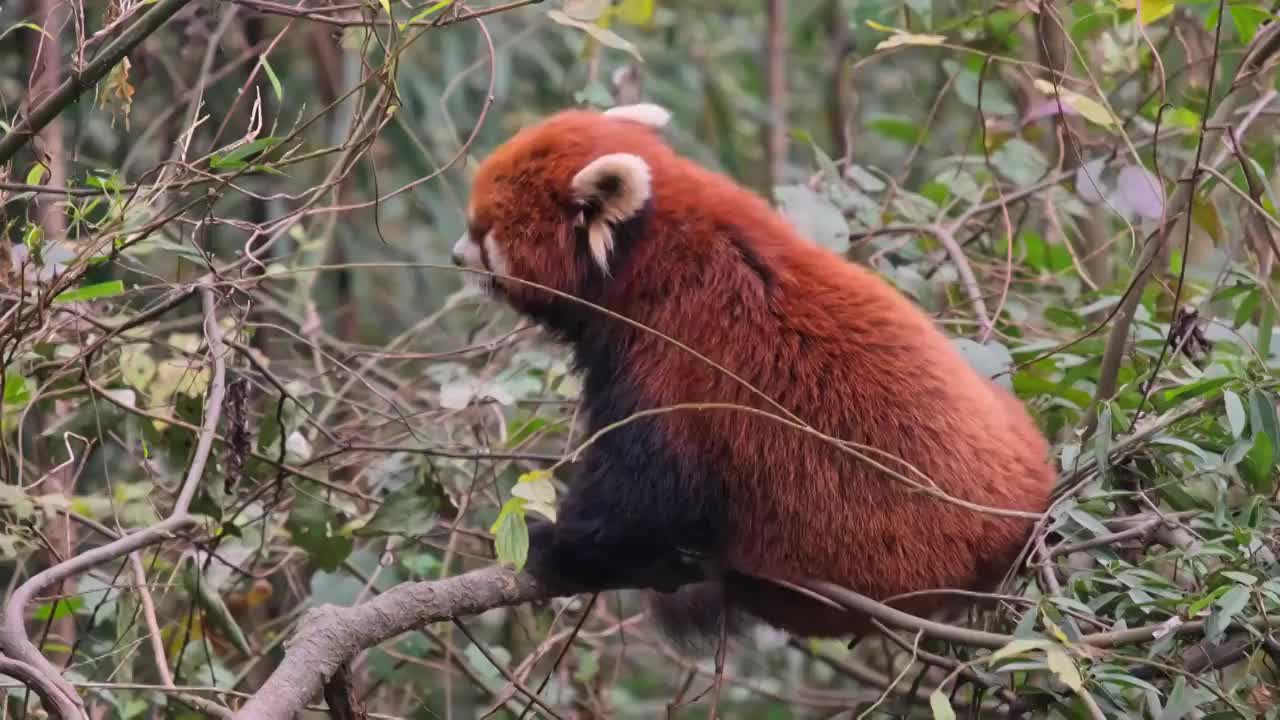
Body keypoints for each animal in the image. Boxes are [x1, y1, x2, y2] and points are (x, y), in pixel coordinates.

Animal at [455, 101, 1054, 638]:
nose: (456, 255)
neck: (645, 252)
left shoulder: (671, 351)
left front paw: (555, 541)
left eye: (481, 228)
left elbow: (647, 491)